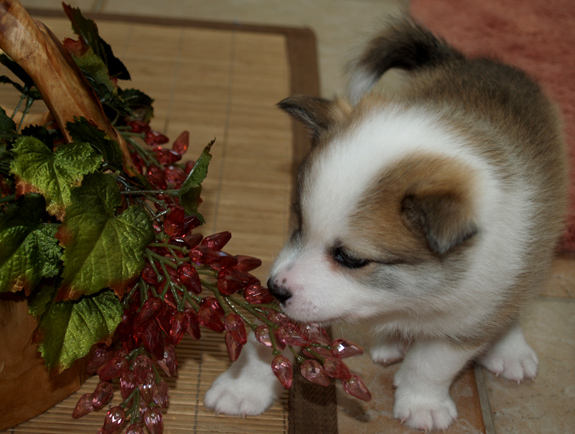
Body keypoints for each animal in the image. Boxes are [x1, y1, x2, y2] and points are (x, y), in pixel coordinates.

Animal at [205, 17, 568, 430]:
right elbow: (269, 339)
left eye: (351, 258)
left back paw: (510, 349)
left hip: (532, 251)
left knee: (514, 301)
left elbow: (430, 365)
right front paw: (242, 388)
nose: (275, 289)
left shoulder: (465, 317)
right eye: (298, 224)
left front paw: (423, 404)